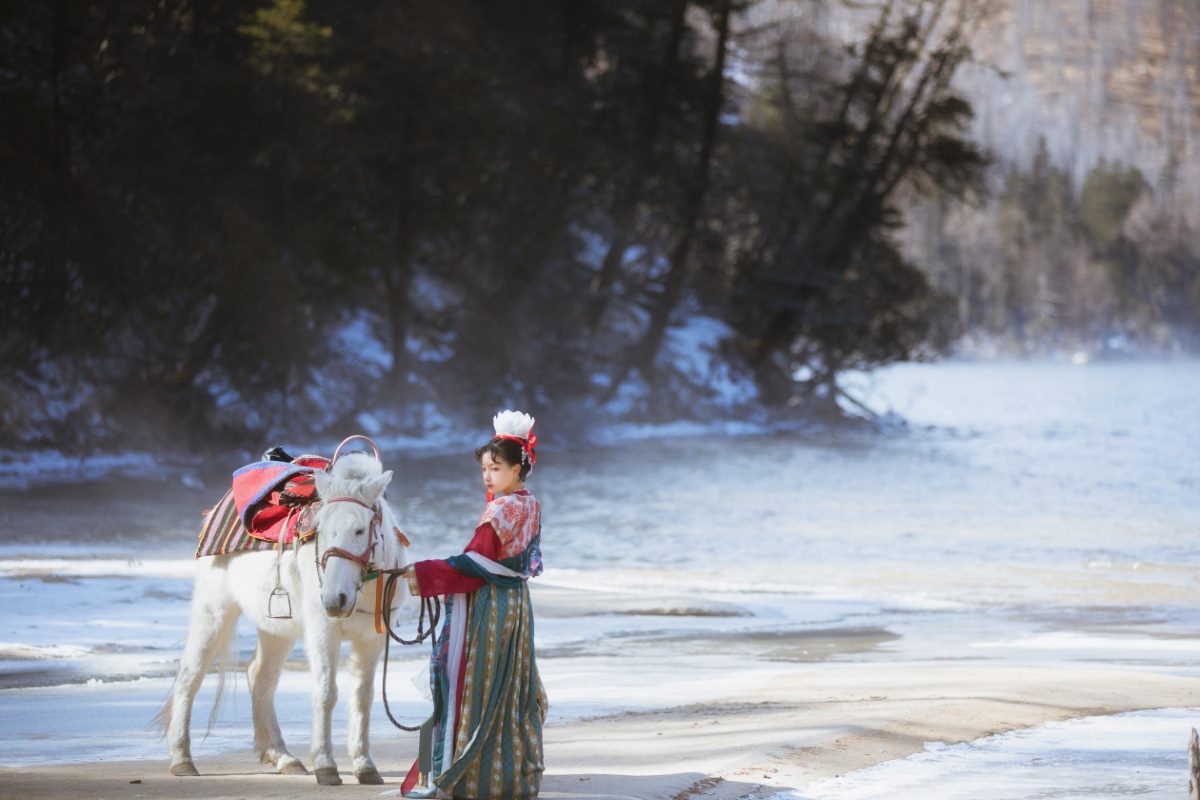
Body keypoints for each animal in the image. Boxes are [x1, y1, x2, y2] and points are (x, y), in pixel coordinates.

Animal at [159, 453, 408, 786]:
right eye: (322, 530)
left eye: (359, 530)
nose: (334, 600)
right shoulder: (323, 632)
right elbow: (326, 692)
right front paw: (326, 766)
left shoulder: (371, 640)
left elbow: (362, 698)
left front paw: (364, 766)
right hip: (214, 610)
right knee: (190, 676)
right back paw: (182, 759)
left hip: (276, 629)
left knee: (260, 677)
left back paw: (282, 757)